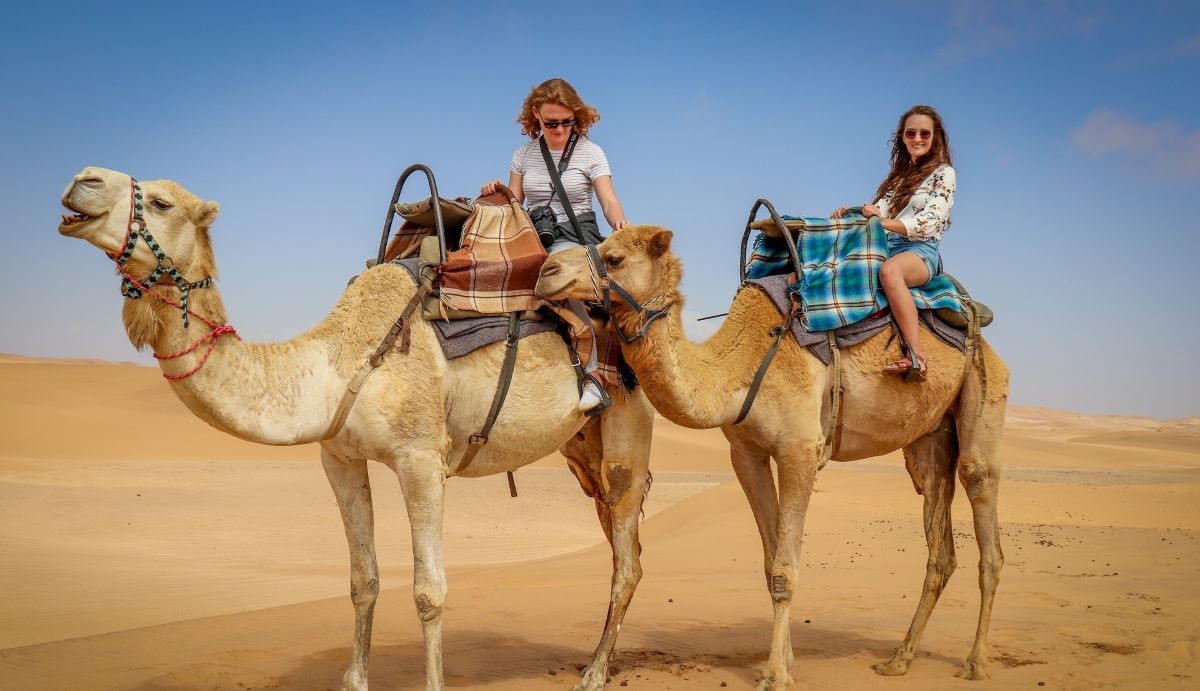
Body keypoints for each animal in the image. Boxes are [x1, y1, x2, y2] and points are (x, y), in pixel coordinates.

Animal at [56, 167, 657, 691]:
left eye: (161, 203)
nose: (82, 179)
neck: (337, 361)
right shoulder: (339, 458)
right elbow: (362, 581)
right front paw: (354, 679)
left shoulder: (421, 458)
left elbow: (428, 592)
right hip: (580, 446)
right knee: (620, 545)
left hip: (627, 425)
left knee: (627, 557)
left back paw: (595, 672)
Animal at [537, 225, 1012, 686]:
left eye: (613, 257)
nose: (546, 271)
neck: (738, 369)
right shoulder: (746, 454)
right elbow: (770, 566)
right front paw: (785, 662)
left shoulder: (800, 448)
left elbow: (786, 569)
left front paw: (776, 675)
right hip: (929, 438)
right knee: (939, 538)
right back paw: (898, 660)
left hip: (984, 396)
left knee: (983, 506)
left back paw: (975, 662)